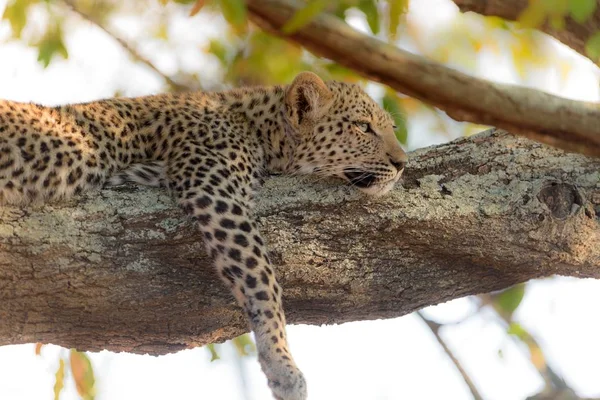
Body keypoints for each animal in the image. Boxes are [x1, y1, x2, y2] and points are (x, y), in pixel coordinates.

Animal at [0, 72, 408, 400]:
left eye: (388, 128)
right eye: (363, 127)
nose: (403, 163)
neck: (259, 127)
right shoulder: (215, 191)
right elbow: (262, 278)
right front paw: (282, 364)